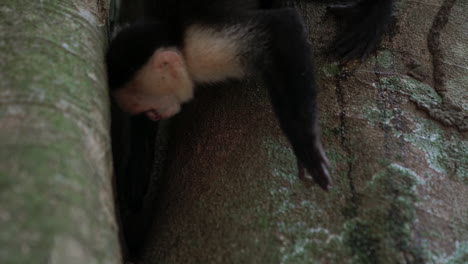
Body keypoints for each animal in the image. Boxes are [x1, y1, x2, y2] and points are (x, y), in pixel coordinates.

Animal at [108, 0, 396, 192]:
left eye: (146, 104)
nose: (155, 114)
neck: (173, 32)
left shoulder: (201, 48)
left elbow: (282, 27)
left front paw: (306, 145)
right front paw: (132, 181)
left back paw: (377, 13)